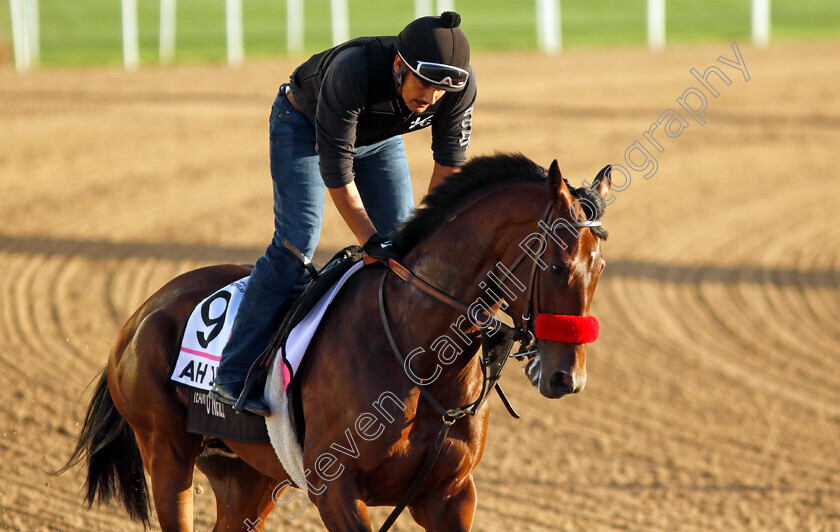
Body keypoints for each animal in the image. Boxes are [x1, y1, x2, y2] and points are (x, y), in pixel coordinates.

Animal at [59, 152, 612, 528]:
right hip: (167, 455)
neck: (419, 352)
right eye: (556, 265)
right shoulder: (337, 491)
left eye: (601, 266)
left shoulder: (452, 495)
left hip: (247, 475)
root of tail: (142, 311)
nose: (567, 377)